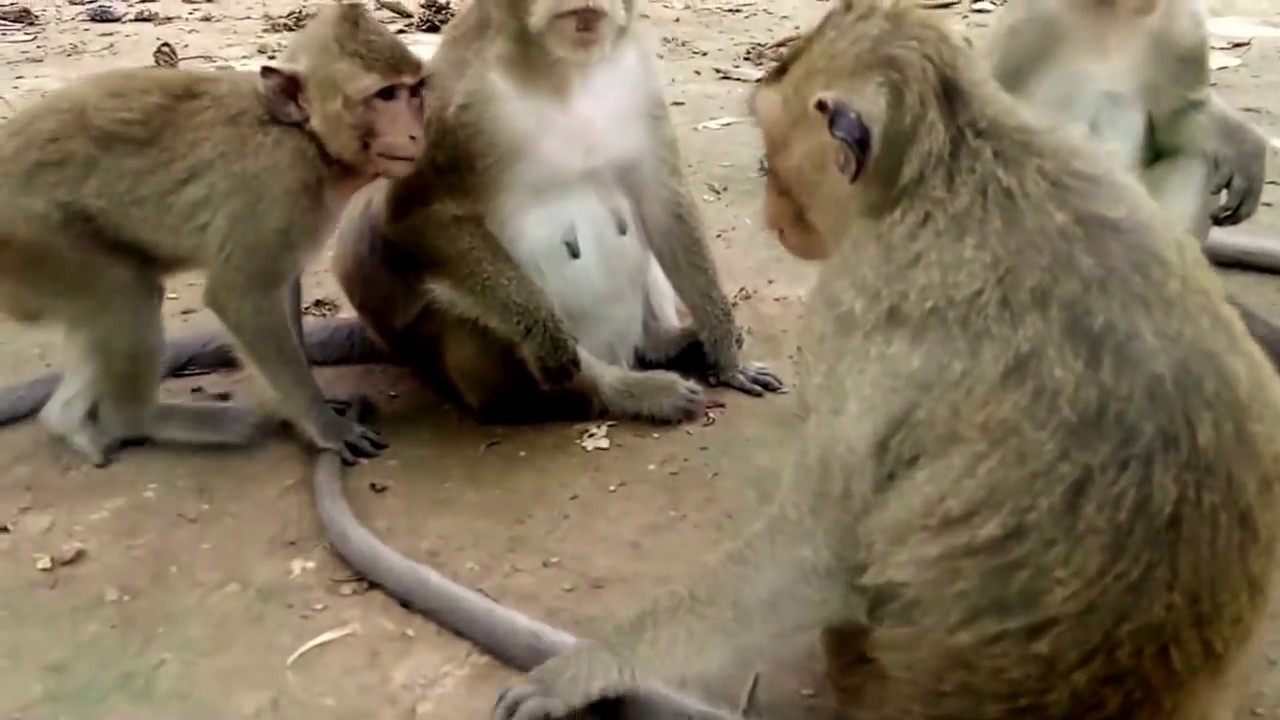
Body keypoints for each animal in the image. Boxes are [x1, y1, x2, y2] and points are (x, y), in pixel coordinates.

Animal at [0, 2, 424, 466]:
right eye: (385, 95)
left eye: (414, 90)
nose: (416, 132)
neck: (305, 139)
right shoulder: (276, 184)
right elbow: (240, 296)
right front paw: (323, 424)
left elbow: (280, 287)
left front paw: (293, 409)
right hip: (34, 240)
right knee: (128, 294)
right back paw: (139, 420)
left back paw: (67, 420)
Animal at [984, 0, 1280, 273]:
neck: (1115, 11)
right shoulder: (1028, 22)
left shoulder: (1183, 28)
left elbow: (1176, 118)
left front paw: (1245, 146)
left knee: (1197, 161)